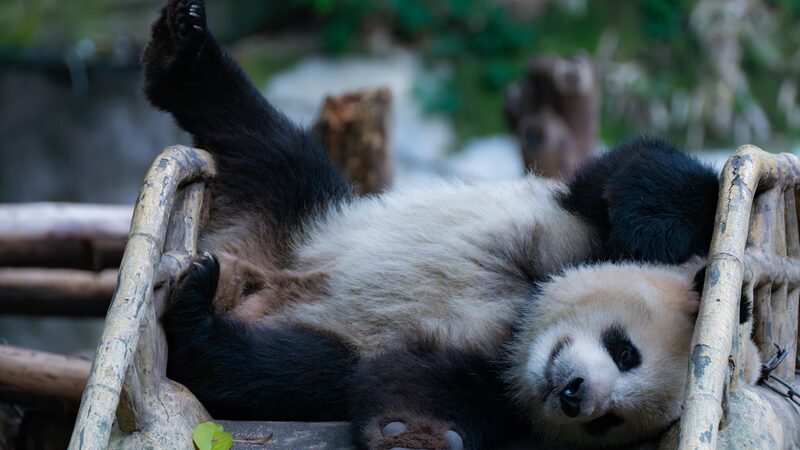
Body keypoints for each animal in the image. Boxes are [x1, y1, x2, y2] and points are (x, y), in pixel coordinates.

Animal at [142, 1, 761, 449]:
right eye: (624, 350)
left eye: (607, 421)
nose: (575, 394)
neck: (525, 314)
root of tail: (249, 265)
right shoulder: (573, 213)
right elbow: (640, 174)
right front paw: (652, 231)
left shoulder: (489, 377)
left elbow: (417, 382)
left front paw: (411, 433)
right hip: (309, 212)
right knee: (264, 142)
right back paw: (180, 48)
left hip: (324, 325)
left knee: (289, 369)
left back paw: (200, 320)